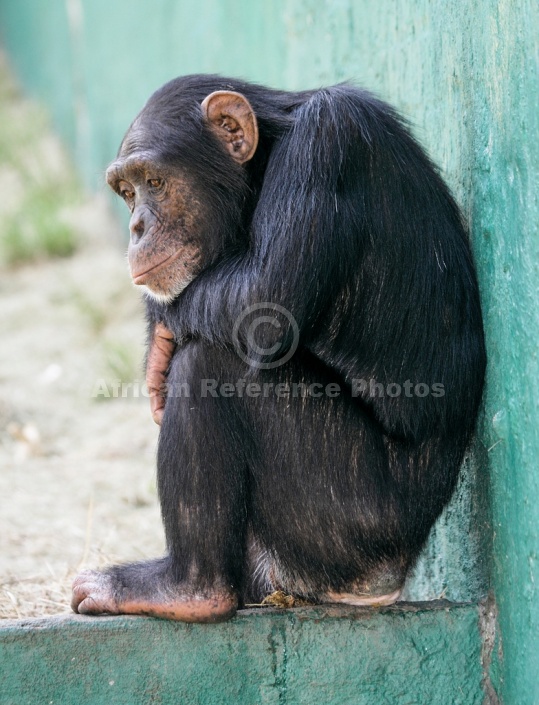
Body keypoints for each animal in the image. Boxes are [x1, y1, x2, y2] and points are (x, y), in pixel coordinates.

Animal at [69, 74, 488, 620]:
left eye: (154, 183)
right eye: (126, 191)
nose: (137, 226)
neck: (268, 157)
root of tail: (382, 584)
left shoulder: (327, 143)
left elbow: (263, 296)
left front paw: (158, 332)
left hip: (348, 519)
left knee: (211, 361)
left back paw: (184, 587)